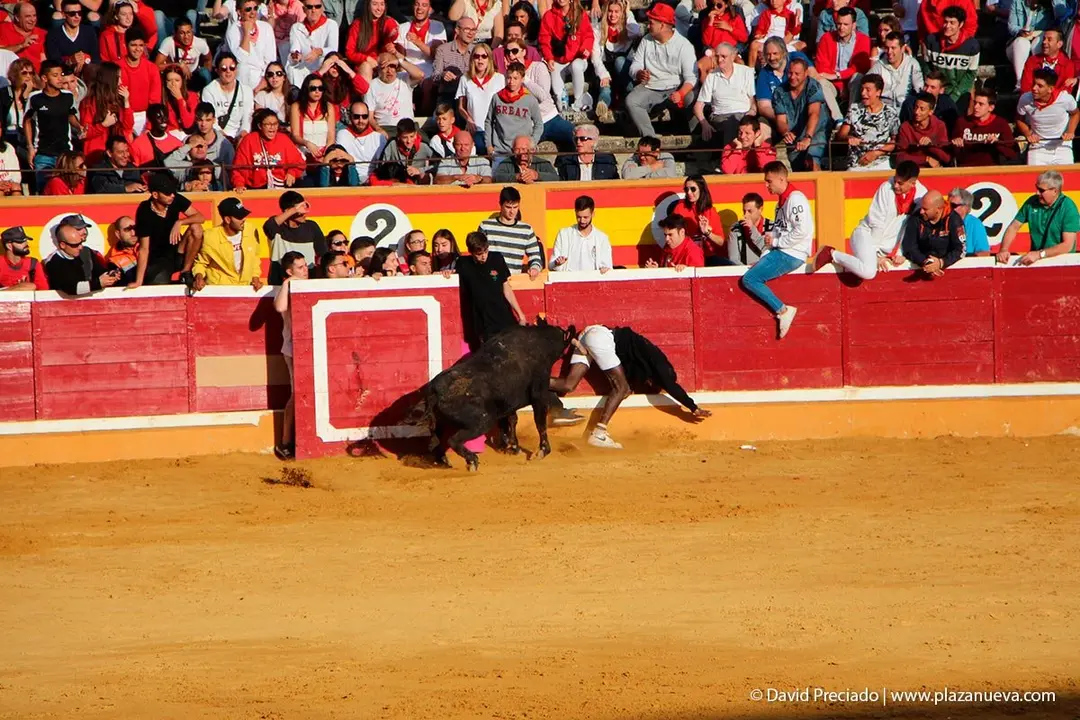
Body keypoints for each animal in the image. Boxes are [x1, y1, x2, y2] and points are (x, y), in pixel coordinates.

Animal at [413, 320, 576, 471]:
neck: (542, 341)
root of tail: (435, 391)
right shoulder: (539, 393)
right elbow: (539, 421)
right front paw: (542, 451)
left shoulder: (510, 401)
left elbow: (512, 420)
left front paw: (513, 446)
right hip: (483, 421)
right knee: (453, 440)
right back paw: (472, 460)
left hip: (439, 423)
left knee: (434, 442)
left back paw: (444, 462)